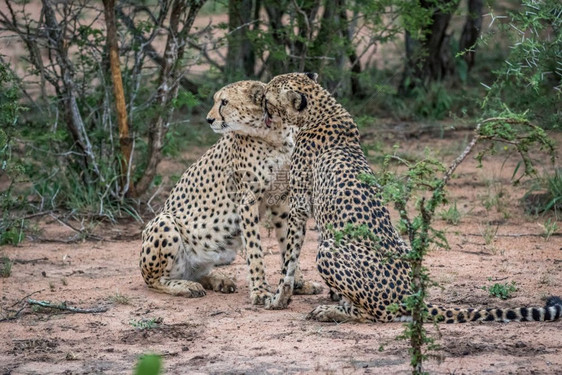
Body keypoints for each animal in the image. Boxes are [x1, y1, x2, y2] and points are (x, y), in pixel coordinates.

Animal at [140, 80, 322, 306]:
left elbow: (288, 246)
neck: (275, 135)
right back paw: (186, 286)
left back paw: (218, 280)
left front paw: (298, 283)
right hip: (164, 222)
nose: (209, 119)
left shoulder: (281, 201)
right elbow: (254, 249)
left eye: (224, 102)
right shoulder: (248, 201)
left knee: (194, 273)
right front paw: (260, 291)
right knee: (156, 280)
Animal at [262, 72, 560, 324]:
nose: (262, 90)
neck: (321, 111)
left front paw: (278, 299)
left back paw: (331, 311)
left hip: (329, 250)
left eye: (274, 87)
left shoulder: (299, 206)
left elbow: (288, 261)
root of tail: (412, 295)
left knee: (376, 314)